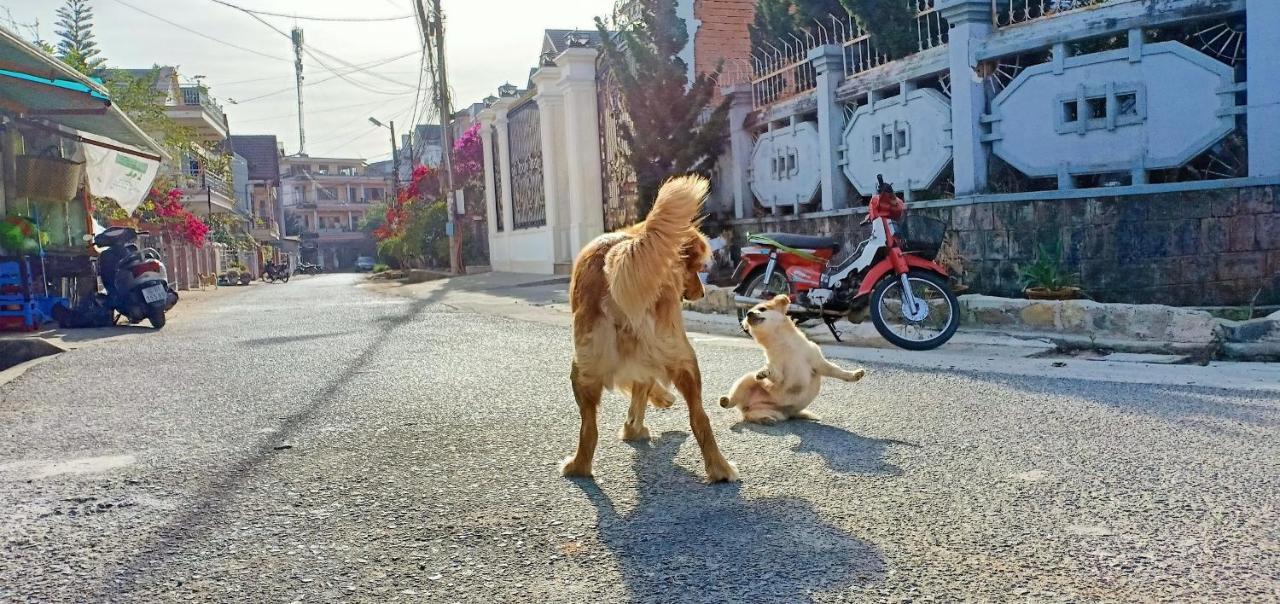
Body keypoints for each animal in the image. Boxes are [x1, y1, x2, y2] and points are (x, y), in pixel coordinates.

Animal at [563, 174, 742, 481]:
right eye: (692, 268)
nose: (701, 292)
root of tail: (615, 256)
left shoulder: (634, 364)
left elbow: (640, 390)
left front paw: (649, 411)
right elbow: (641, 391)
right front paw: (643, 417)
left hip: (587, 366)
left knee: (590, 426)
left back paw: (581, 465)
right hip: (676, 357)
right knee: (698, 417)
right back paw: (719, 468)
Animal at [721, 294, 870, 422]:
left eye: (762, 309)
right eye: (748, 313)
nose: (748, 314)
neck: (783, 344)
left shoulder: (818, 362)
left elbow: (836, 371)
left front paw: (854, 375)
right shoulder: (779, 374)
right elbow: (775, 374)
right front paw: (765, 372)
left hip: (775, 412)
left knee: (750, 415)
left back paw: (765, 418)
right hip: (746, 380)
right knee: (737, 405)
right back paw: (727, 401)